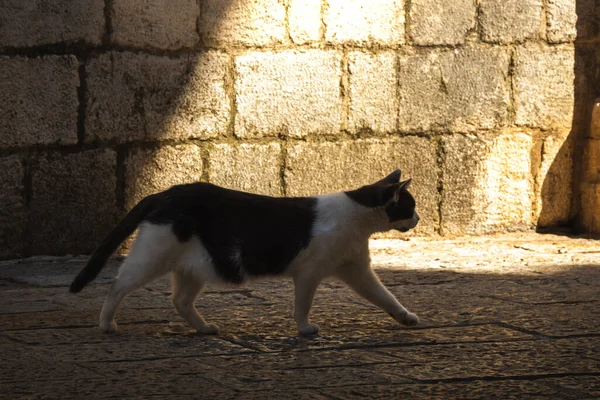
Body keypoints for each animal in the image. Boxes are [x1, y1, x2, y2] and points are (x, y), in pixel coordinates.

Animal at [70, 169, 420, 334]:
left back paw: (204, 328)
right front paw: (304, 329)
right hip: (153, 257)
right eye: (410, 205)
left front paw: (405, 317)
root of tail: (165, 193)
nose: (418, 218)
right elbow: (302, 305)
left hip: (194, 266)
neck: (358, 218)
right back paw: (106, 323)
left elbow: (385, 297)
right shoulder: (309, 273)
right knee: (118, 284)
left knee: (180, 300)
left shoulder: (357, 270)